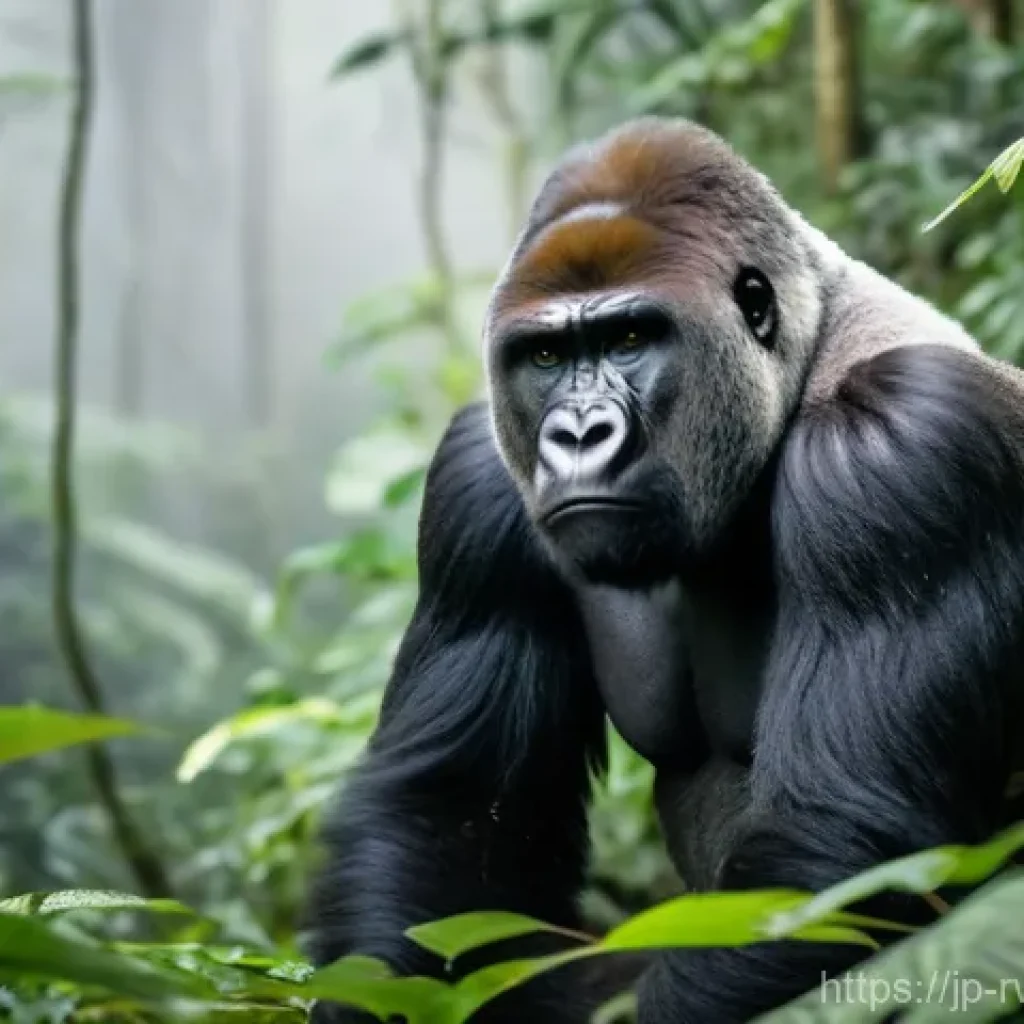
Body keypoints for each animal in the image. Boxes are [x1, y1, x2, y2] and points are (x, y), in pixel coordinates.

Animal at [303, 117, 1024, 1022]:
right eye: (546, 356)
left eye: (629, 340)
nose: (577, 435)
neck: (802, 363)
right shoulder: (480, 474)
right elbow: (451, 811)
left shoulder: (905, 447)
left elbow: (842, 850)